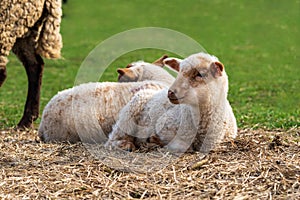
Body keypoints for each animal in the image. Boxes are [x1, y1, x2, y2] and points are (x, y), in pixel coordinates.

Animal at [105, 52, 237, 152]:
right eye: (179, 72)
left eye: (199, 74)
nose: (170, 92)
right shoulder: (165, 126)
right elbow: (179, 146)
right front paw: (154, 141)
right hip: (130, 112)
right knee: (112, 139)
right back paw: (126, 145)